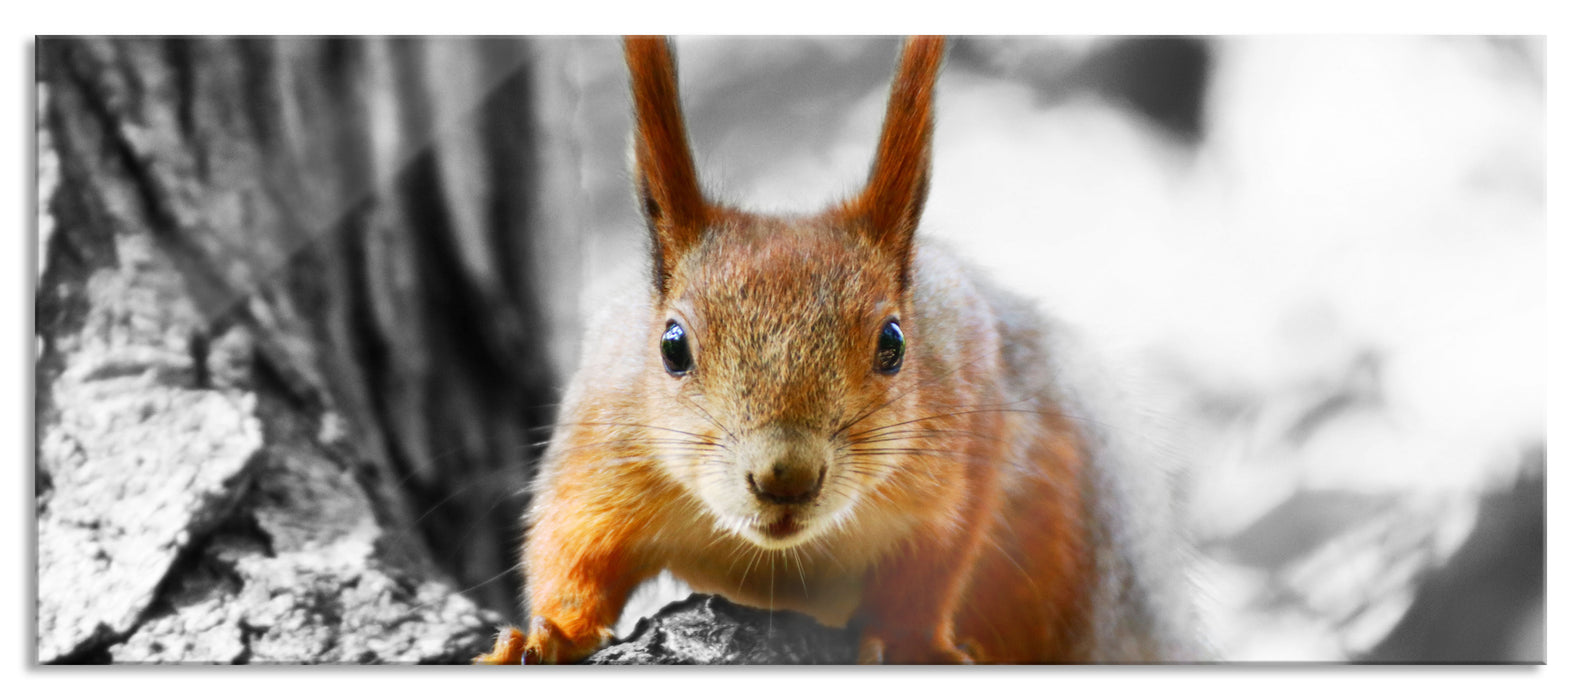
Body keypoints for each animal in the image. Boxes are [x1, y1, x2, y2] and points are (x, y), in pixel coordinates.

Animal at [475, 35, 1201, 664]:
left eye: (894, 342)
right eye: (672, 346)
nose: (785, 477)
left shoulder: (969, 439)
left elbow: (932, 567)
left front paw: (911, 644)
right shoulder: (602, 444)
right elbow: (572, 552)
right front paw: (550, 635)